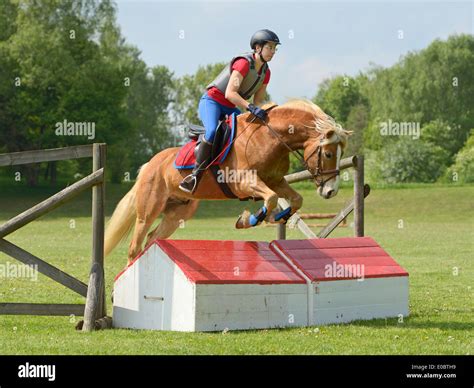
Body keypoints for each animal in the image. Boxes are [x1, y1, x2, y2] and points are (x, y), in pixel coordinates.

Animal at [103, 98, 350, 266]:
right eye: (329, 154)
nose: (331, 191)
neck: (270, 137)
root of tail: (149, 165)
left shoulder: (275, 180)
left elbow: (294, 200)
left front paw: (273, 217)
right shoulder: (243, 182)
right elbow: (270, 198)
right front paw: (249, 219)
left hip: (178, 213)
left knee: (152, 239)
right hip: (148, 210)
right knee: (135, 246)